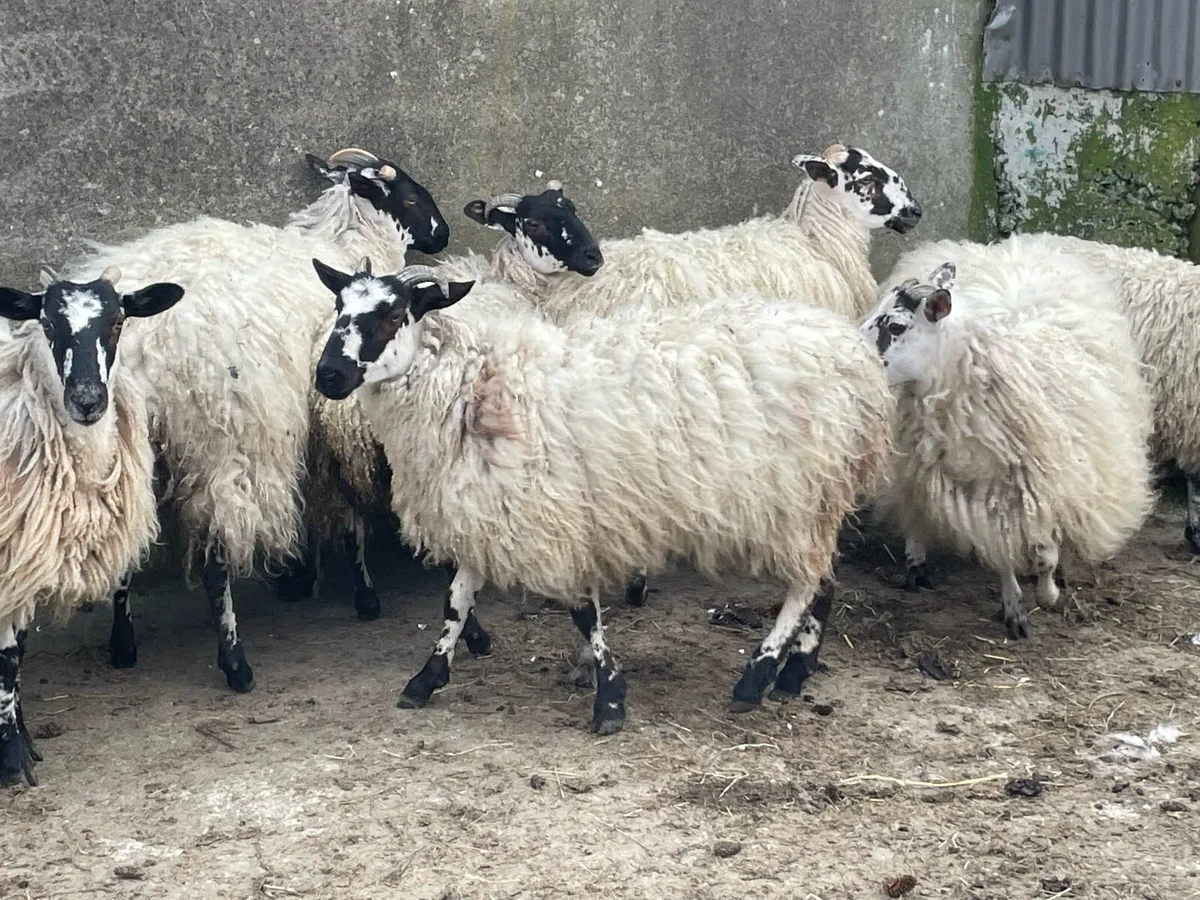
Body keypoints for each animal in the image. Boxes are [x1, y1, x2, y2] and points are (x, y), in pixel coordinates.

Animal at [0, 265, 184, 784]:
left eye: (119, 322)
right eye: (46, 324)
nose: (86, 401)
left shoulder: (26, 551)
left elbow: (17, 653)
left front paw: (21, 741)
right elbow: (6, 659)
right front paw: (13, 761)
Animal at [63, 148, 450, 690]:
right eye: (411, 196)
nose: (443, 234)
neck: (343, 247)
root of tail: (139, 342)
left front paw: (300, 576)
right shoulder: (334, 409)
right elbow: (346, 504)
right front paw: (360, 593)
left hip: (117, 441)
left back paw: (123, 646)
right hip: (223, 441)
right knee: (217, 558)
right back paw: (235, 662)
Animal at [310, 259, 894, 735]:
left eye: (391, 315)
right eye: (338, 307)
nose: (328, 376)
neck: (473, 388)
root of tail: (853, 352)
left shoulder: (557, 518)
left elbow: (582, 613)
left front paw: (609, 699)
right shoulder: (493, 509)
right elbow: (456, 600)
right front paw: (425, 679)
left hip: (799, 493)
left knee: (804, 585)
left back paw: (757, 676)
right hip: (818, 496)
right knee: (823, 581)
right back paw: (795, 673)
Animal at [859, 262, 1155, 639]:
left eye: (895, 326)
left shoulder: (1040, 492)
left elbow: (1045, 556)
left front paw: (1047, 593)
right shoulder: (985, 501)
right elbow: (1002, 555)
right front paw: (1014, 608)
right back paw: (916, 562)